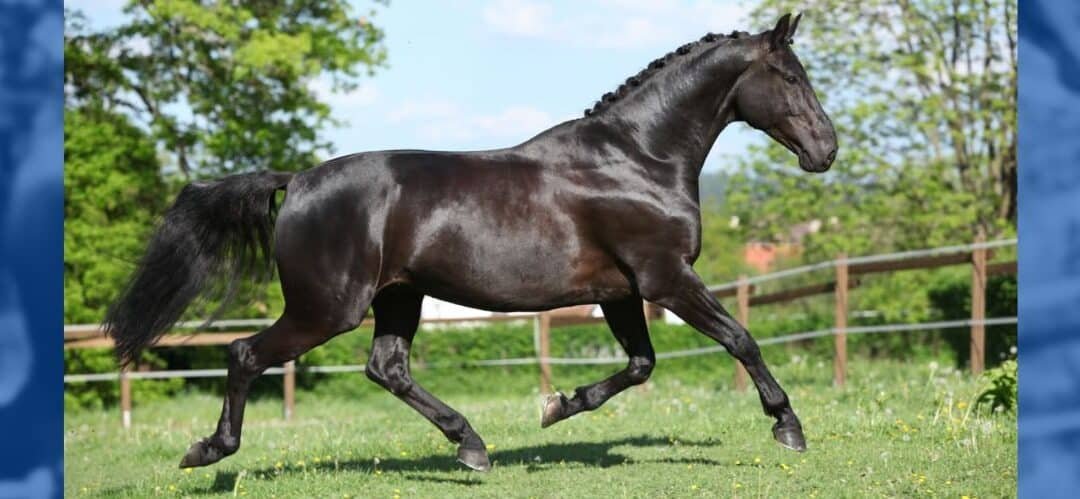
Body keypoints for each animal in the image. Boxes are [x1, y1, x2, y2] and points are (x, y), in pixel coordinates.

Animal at [105, 13, 837, 472]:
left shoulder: (622, 291)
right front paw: (789, 427)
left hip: (398, 297)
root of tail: (298, 179)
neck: (638, 159)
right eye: (793, 77)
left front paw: (556, 407)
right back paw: (208, 451)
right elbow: (740, 338)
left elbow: (639, 366)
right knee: (245, 353)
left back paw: (472, 446)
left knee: (387, 368)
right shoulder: (666, 277)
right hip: (327, 308)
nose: (826, 150)